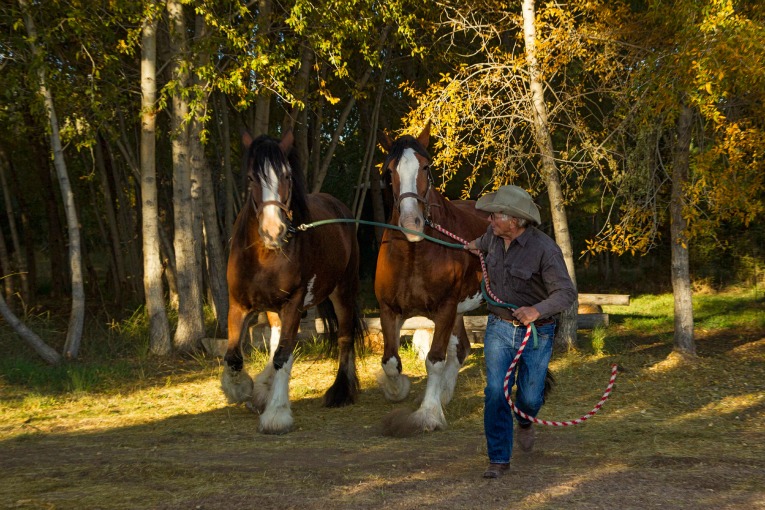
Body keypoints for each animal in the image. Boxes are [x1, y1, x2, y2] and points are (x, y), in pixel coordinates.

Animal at [221, 129, 364, 432]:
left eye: (287, 176)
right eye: (251, 178)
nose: (273, 231)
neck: (264, 256)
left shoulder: (293, 303)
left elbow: (283, 355)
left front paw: (276, 413)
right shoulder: (238, 304)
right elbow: (234, 356)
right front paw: (242, 389)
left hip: (343, 292)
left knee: (345, 337)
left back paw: (341, 391)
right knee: (275, 338)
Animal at [374, 123, 490, 434]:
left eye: (426, 167)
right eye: (389, 171)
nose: (411, 224)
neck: (414, 253)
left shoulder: (445, 308)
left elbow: (435, 360)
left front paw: (428, 414)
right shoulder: (389, 310)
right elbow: (390, 362)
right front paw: (398, 389)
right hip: (459, 311)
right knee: (461, 349)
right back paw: (445, 395)